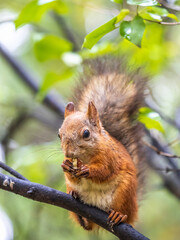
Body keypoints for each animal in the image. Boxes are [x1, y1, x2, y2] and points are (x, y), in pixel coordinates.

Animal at [58, 56, 147, 231]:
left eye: (86, 133)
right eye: (59, 134)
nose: (68, 153)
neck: (86, 157)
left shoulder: (110, 157)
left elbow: (105, 171)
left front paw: (87, 170)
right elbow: (73, 177)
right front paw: (66, 165)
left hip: (125, 192)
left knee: (126, 215)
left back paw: (119, 215)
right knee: (87, 225)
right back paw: (79, 210)